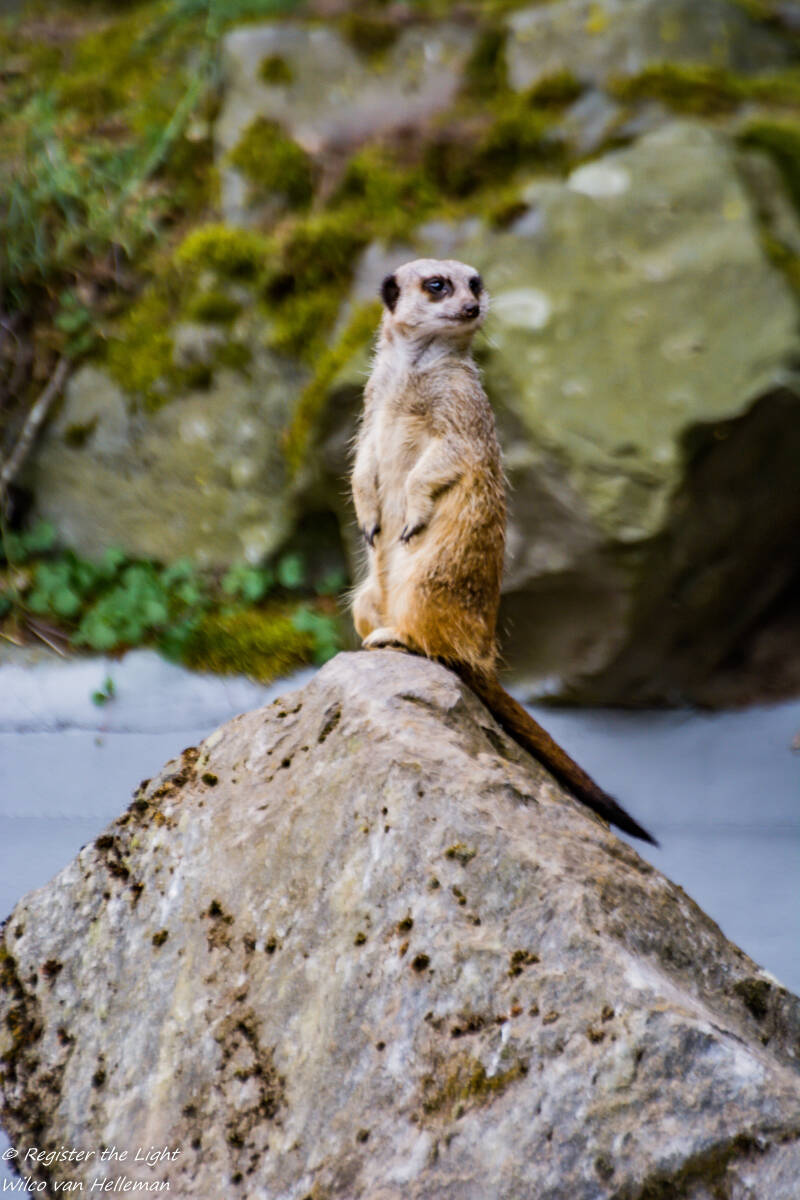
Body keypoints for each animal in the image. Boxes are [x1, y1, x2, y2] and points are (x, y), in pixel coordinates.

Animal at [351, 257, 656, 846]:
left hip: (434, 578)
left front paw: (412, 507)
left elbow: (448, 455)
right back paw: (368, 638)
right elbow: (363, 461)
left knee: (435, 641)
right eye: (438, 285)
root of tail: (480, 652)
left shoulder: (463, 408)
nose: (472, 306)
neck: (414, 370)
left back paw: (401, 637)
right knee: (366, 606)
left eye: (476, 282)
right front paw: (368, 516)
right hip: (367, 594)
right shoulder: (373, 401)